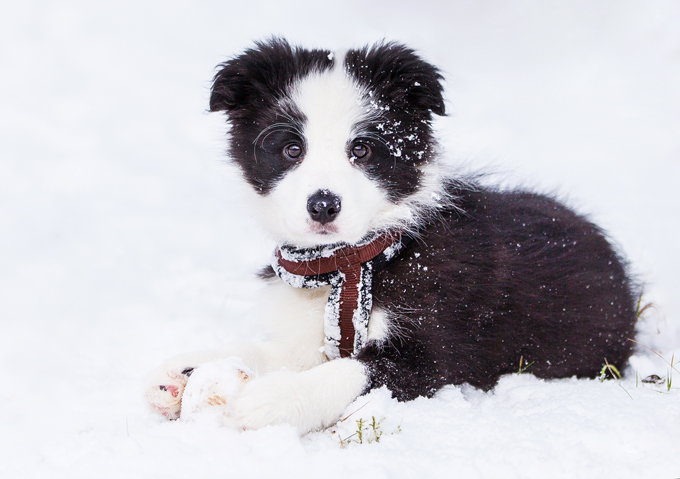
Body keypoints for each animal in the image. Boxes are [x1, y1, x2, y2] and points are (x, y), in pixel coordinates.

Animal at [143, 37, 636, 436]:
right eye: (291, 149)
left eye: (361, 150)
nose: (323, 205)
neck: (349, 265)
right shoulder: (308, 335)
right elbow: (271, 351)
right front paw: (188, 369)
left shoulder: (435, 352)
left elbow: (350, 372)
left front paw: (274, 401)